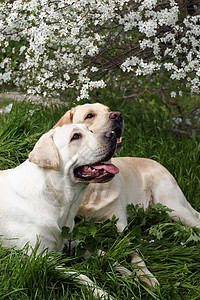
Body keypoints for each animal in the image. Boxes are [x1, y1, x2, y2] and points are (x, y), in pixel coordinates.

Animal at [54, 102, 200, 288]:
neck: (93, 189)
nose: (117, 115)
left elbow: (134, 252)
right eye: (89, 116)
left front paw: (145, 275)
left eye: (108, 110)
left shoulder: (122, 228)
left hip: (173, 207)